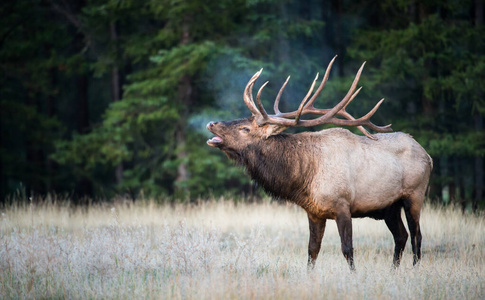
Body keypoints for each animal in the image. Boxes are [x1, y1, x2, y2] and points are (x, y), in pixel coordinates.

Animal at [206, 56, 432, 270]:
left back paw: (414, 269)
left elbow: (347, 249)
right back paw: (393, 270)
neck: (304, 177)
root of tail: (428, 156)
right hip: (390, 207)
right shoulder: (314, 212)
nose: (211, 123)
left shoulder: (343, 204)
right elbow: (312, 250)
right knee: (401, 236)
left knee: (416, 236)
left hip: (414, 195)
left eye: (244, 128)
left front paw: (354, 275)